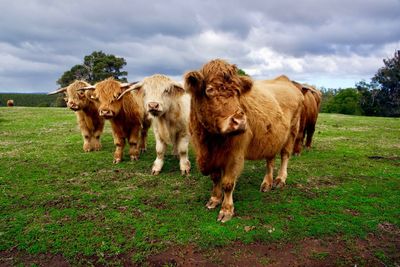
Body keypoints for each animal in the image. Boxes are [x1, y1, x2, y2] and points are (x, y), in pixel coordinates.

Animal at [184, 59, 304, 223]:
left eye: (238, 92)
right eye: (210, 89)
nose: (240, 121)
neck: (209, 141)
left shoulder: (235, 154)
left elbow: (228, 183)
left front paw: (226, 210)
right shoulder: (205, 152)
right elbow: (215, 178)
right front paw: (214, 199)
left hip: (292, 131)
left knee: (285, 155)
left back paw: (280, 179)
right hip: (272, 138)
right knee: (270, 160)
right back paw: (267, 183)